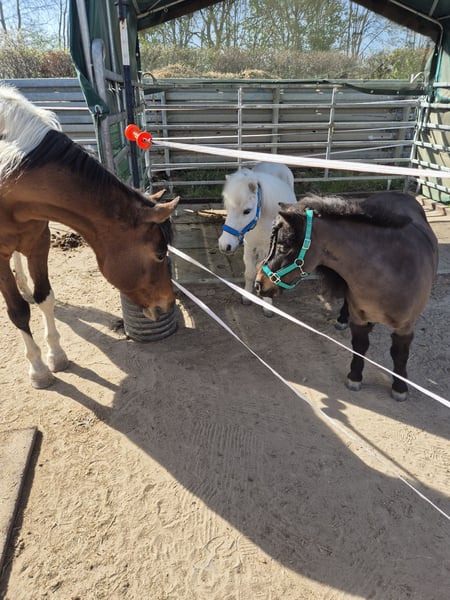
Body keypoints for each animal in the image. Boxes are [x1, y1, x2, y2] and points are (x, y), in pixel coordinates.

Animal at [0, 84, 179, 388]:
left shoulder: (39, 240)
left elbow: (45, 297)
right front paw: (38, 370)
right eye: (159, 253)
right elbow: (19, 312)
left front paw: (56, 356)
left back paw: (23, 284)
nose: (168, 304)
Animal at [218, 162, 297, 316]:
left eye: (247, 211)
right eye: (227, 208)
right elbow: (249, 273)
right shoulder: (249, 246)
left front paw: (267, 305)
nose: (225, 245)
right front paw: (247, 297)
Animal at [255, 191, 439, 401]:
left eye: (283, 247)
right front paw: (355, 376)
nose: (259, 283)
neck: (393, 270)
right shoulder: (359, 318)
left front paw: (400, 387)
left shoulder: (405, 327)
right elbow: (360, 346)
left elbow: (400, 354)